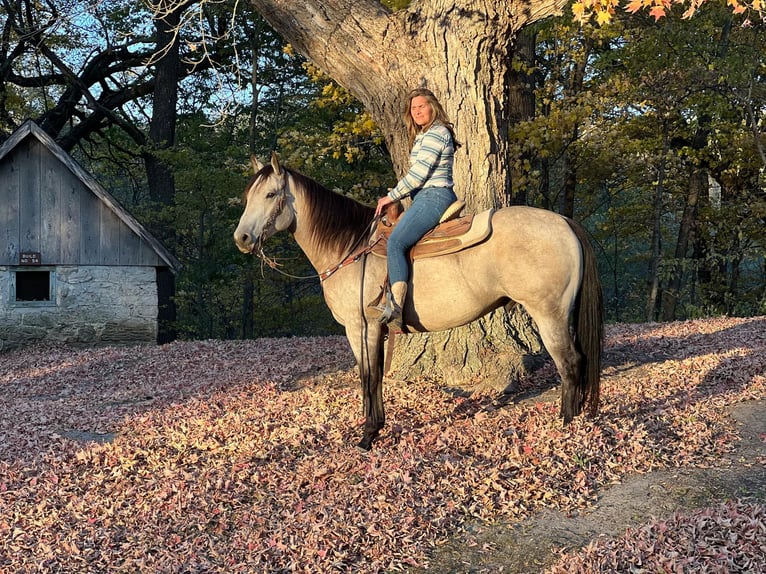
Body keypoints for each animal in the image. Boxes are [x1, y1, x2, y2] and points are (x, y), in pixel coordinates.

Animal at [234, 153, 603, 450]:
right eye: (248, 195)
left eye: (270, 194)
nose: (242, 238)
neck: (350, 247)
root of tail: (564, 222)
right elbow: (374, 376)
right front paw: (375, 428)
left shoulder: (362, 328)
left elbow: (369, 376)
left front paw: (368, 434)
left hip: (549, 314)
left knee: (570, 363)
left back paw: (566, 423)